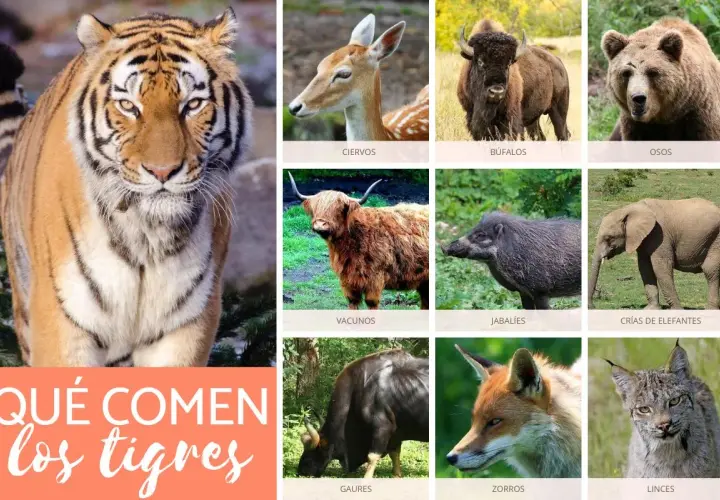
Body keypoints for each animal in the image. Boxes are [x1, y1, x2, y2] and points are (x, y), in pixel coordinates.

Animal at [0, 9, 253, 366]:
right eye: (129, 107)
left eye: (192, 105)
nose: (162, 171)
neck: (146, 236)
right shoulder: (62, 319)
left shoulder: (186, 324)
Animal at [589, 198, 720, 310]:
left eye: (609, 238)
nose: (592, 306)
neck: (630, 209)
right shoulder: (643, 238)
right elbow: (645, 267)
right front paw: (651, 309)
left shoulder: (660, 235)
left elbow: (661, 267)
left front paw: (677, 310)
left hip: (715, 239)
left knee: (710, 270)